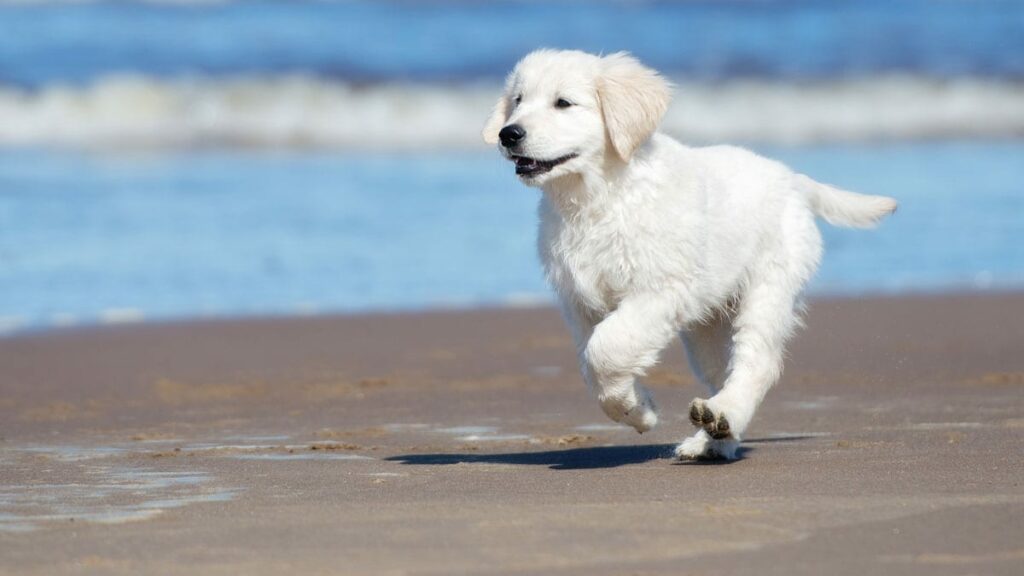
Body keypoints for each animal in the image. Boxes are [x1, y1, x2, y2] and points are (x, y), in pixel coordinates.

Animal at [483, 49, 892, 457]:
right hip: (707, 326)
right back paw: (714, 438)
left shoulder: (658, 289)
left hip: (769, 288)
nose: (508, 133)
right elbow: (592, 363)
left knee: (755, 364)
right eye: (517, 101)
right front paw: (635, 408)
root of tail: (792, 179)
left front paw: (637, 408)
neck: (597, 197)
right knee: (721, 372)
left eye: (563, 103)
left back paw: (724, 416)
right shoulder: (580, 300)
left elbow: (606, 348)